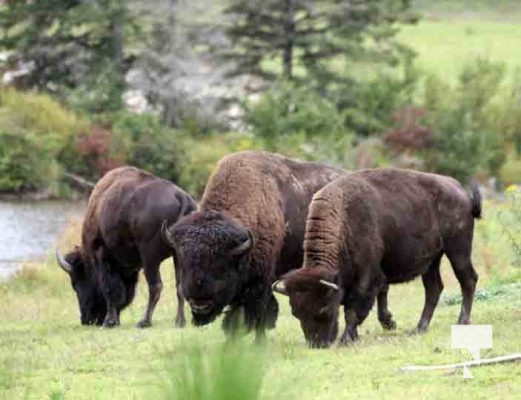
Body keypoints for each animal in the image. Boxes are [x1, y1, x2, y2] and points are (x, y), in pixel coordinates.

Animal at [54, 166, 196, 328]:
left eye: (76, 283)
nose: (87, 320)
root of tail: (181, 197)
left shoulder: (102, 256)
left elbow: (109, 289)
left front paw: (109, 322)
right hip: (178, 256)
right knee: (180, 286)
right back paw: (179, 321)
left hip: (150, 258)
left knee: (155, 286)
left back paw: (144, 321)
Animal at [160, 150, 344, 340]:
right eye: (184, 262)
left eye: (220, 265)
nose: (200, 305)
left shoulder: (261, 280)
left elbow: (259, 311)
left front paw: (258, 341)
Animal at [274, 167, 482, 348]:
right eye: (296, 313)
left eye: (323, 308)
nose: (318, 344)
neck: (343, 219)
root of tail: (461, 190)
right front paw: (353, 337)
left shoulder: (367, 277)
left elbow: (353, 309)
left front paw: (346, 339)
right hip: (432, 261)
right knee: (433, 289)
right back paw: (419, 328)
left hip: (458, 250)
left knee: (468, 280)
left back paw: (462, 321)